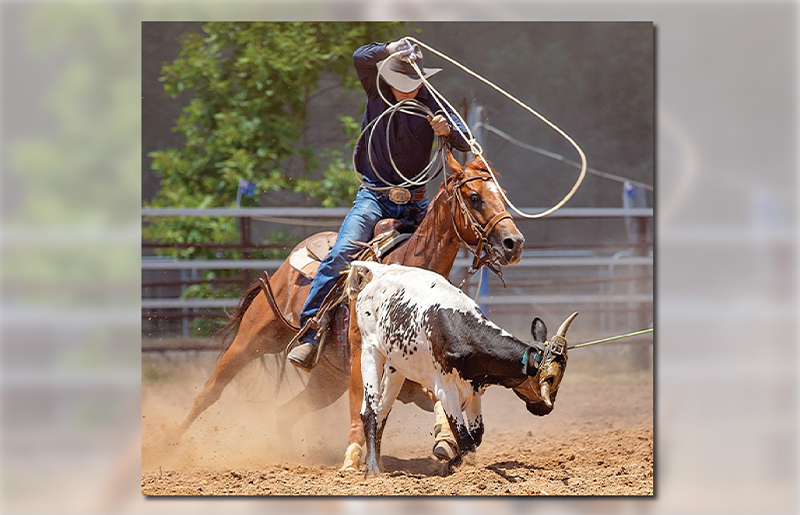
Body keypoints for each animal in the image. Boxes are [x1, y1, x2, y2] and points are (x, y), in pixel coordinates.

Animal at [175, 150, 524, 468]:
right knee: (211, 391)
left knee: (284, 413)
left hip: (325, 382)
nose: (514, 243)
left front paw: (445, 441)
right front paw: (354, 457)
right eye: (475, 197)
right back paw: (172, 443)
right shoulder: (362, 354)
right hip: (252, 340)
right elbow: (364, 405)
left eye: (503, 197)